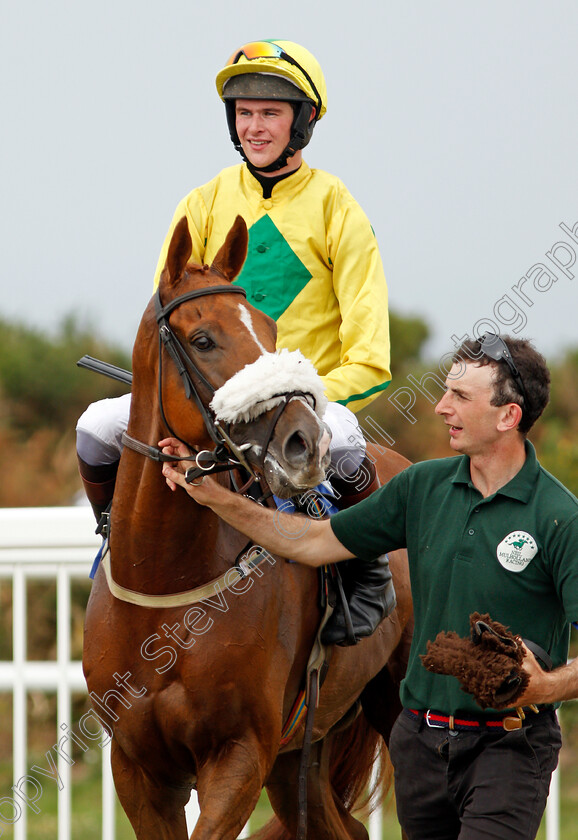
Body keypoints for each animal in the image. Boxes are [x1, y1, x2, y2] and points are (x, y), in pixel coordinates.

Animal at [83, 218, 412, 840]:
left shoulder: (239, 754)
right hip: (300, 754)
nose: (305, 442)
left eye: (270, 328)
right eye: (203, 339)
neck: (167, 591)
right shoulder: (136, 766)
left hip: (400, 706)